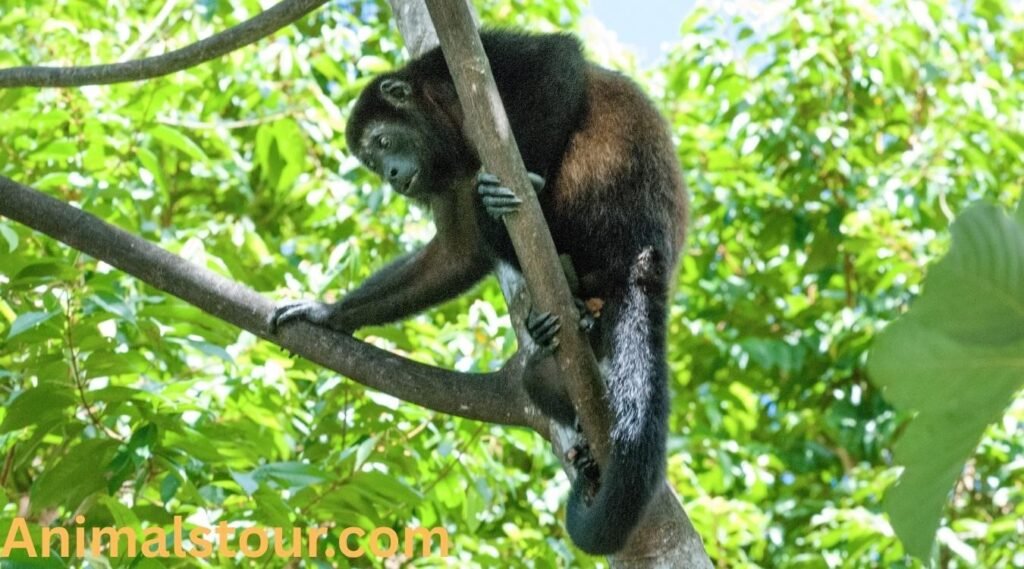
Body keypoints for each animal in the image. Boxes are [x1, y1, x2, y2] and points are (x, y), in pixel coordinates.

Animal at [270, 30, 687, 555]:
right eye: (372, 163)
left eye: (383, 142)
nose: (392, 177)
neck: (443, 124)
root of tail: (646, 254)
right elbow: (456, 255)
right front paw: (329, 312)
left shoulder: (458, 67)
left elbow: (558, 60)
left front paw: (525, 181)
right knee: (536, 377)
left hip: (604, 209)